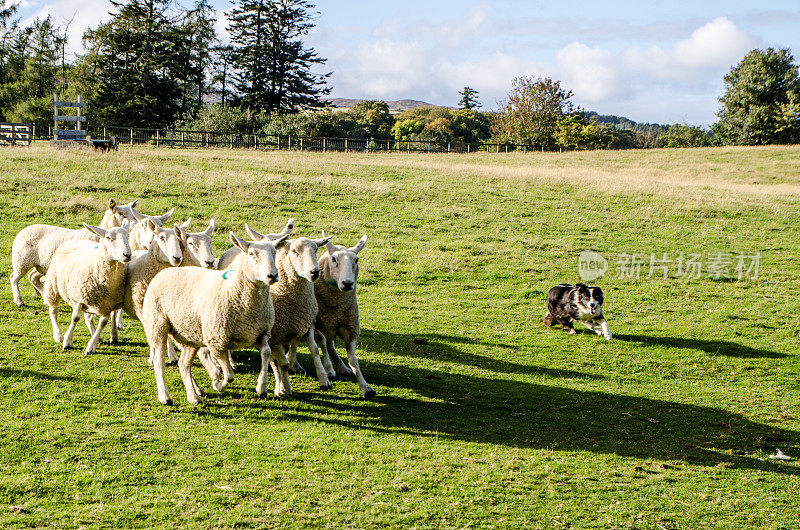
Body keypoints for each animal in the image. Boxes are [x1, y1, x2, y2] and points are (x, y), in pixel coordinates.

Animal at [10, 198, 138, 306]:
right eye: (120, 213)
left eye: (132, 213)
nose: (135, 224)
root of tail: (24, 230)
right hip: (21, 261)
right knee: (14, 278)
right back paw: (19, 300)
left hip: (41, 265)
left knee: (32, 277)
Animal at [42, 221, 131, 352]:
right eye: (108, 238)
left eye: (128, 236)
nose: (127, 255)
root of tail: (75, 241)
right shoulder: (78, 297)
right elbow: (75, 318)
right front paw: (67, 341)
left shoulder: (107, 303)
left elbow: (103, 322)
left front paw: (91, 345)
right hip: (54, 284)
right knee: (53, 309)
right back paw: (58, 335)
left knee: (88, 317)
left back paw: (96, 336)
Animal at [142, 231, 290, 404]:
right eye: (252, 254)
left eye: (274, 253)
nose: (272, 275)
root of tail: (165, 272)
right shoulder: (216, 341)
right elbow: (230, 375)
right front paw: (217, 384)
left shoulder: (261, 333)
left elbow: (266, 353)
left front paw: (261, 387)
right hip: (157, 325)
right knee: (159, 362)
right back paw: (165, 396)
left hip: (189, 334)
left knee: (183, 364)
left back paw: (193, 396)